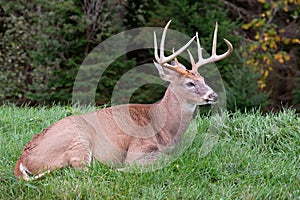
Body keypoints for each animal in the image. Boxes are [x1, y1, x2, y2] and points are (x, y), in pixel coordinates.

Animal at [14, 19, 232, 180]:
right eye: (190, 83)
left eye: (203, 79)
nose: (214, 95)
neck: (163, 127)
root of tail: (22, 160)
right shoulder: (137, 148)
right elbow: (161, 158)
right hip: (78, 141)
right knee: (84, 171)